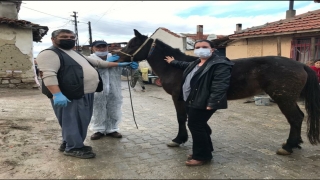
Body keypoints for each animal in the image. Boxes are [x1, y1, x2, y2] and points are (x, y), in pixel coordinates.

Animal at [117, 29, 320, 155]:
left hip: (284, 98)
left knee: (295, 118)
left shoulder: (179, 98)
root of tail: (301, 64)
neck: (176, 68)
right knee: (299, 117)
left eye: (132, 44)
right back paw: (295, 143)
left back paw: (288, 146)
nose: (118, 58)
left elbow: (181, 118)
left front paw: (179, 139)